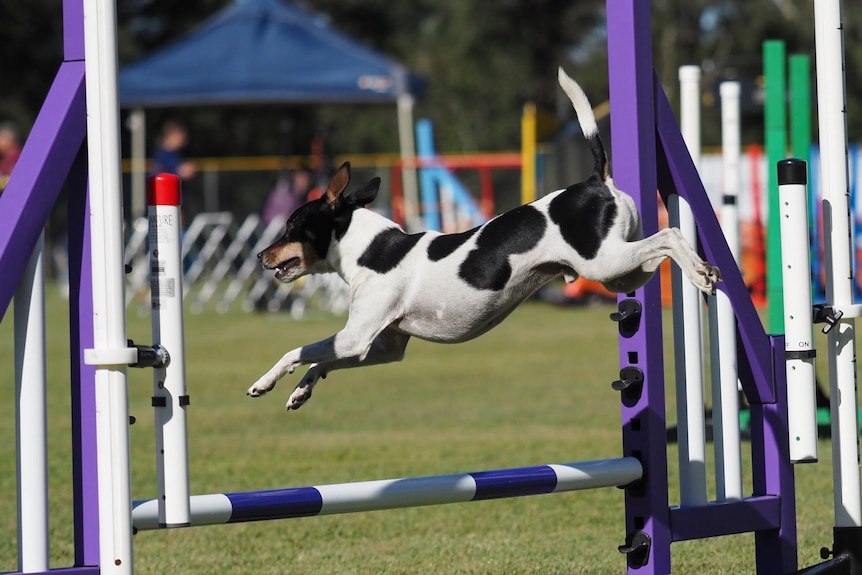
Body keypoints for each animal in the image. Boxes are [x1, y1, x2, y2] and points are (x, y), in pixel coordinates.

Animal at [246, 67, 720, 412]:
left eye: (290, 226)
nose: (259, 254)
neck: (370, 251)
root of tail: (594, 182)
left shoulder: (355, 337)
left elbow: (298, 350)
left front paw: (265, 381)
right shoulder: (380, 346)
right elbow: (320, 361)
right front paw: (301, 391)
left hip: (605, 263)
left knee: (671, 234)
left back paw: (702, 273)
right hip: (623, 273)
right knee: (661, 247)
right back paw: (702, 272)